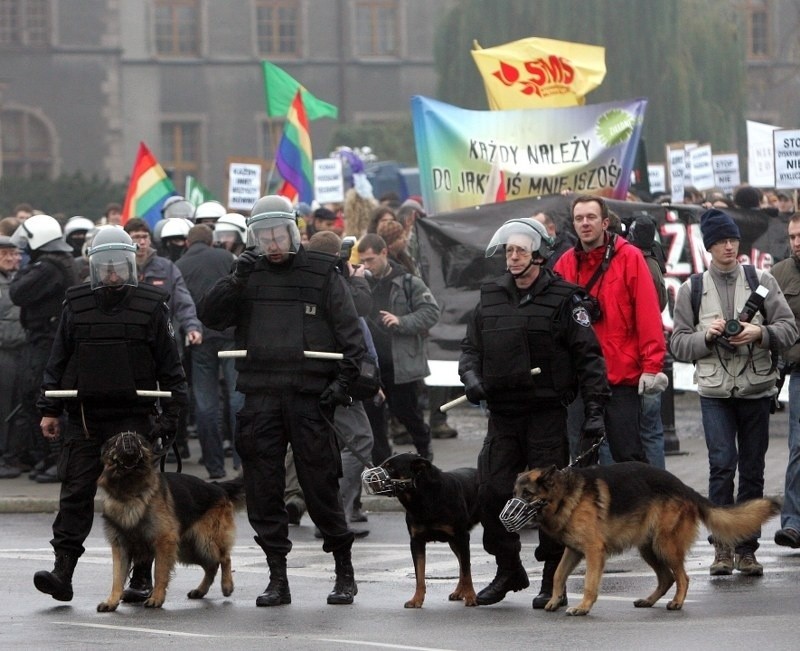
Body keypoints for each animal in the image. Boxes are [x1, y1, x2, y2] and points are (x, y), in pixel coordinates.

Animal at [94, 432, 244, 612]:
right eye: (116, 441)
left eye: (138, 439)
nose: (128, 436)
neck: (129, 488)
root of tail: (216, 486)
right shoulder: (121, 547)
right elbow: (117, 576)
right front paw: (111, 601)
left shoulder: (163, 541)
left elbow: (159, 572)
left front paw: (156, 599)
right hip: (189, 548)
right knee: (212, 566)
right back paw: (200, 590)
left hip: (205, 541)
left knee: (224, 558)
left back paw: (227, 585)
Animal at [364, 456, 482, 608]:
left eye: (390, 467)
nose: (368, 477)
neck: (423, 498)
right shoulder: (416, 541)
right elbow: (419, 575)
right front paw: (416, 600)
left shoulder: (462, 536)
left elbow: (467, 572)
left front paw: (471, 597)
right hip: (453, 542)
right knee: (463, 562)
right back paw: (458, 592)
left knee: (466, 564)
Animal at [512, 464, 780, 616]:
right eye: (515, 493)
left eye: (527, 494)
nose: (506, 515)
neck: (564, 494)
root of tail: (683, 487)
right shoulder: (574, 550)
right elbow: (558, 574)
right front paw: (554, 600)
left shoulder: (593, 551)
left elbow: (589, 583)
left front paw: (584, 607)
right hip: (649, 548)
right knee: (667, 578)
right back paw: (649, 601)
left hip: (664, 546)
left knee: (682, 577)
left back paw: (677, 603)